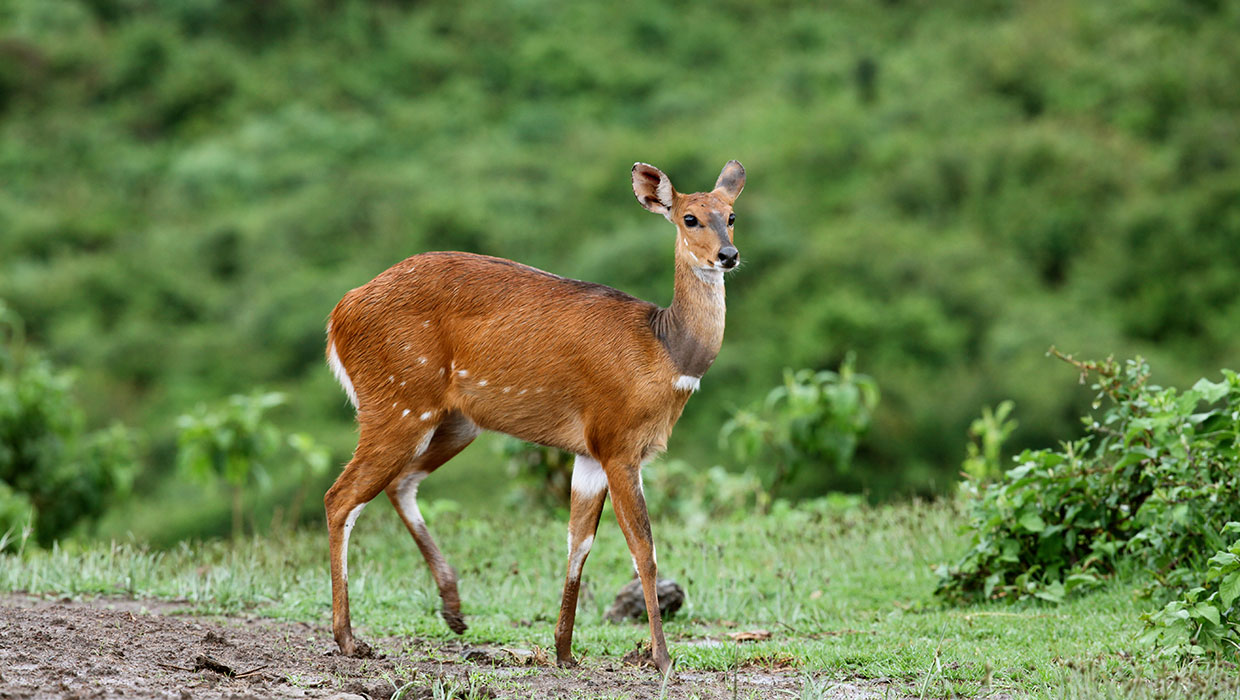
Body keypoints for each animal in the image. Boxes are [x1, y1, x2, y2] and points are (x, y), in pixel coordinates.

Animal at [322, 158, 744, 669]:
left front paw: (564, 651)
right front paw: (661, 658)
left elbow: (578, 542)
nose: (728, 255)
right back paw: (349, 638)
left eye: (731, 215)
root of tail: (338, 314)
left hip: (454, 422)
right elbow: (643, 547)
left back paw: (454, 611)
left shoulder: (588, 453)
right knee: (341, 497)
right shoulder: (619, 444)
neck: (665, 351)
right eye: (690, 218)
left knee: (399, 483)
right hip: (397, 404)